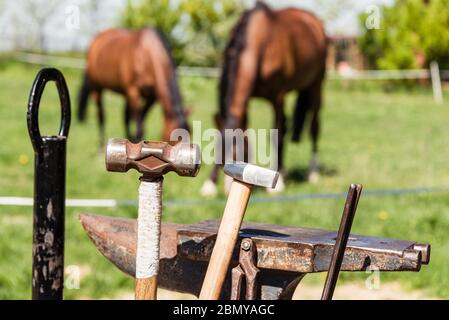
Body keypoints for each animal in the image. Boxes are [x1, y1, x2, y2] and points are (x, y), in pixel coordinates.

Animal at [201, 3, 328, 195]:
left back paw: (312, 172)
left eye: (239, 151)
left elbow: (278, 133)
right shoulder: (245, 102)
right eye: (218, 148)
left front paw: (279, 182)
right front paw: (209, 183)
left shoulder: (278, 97)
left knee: (314, 126)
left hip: (316, 85)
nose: (228, 187)